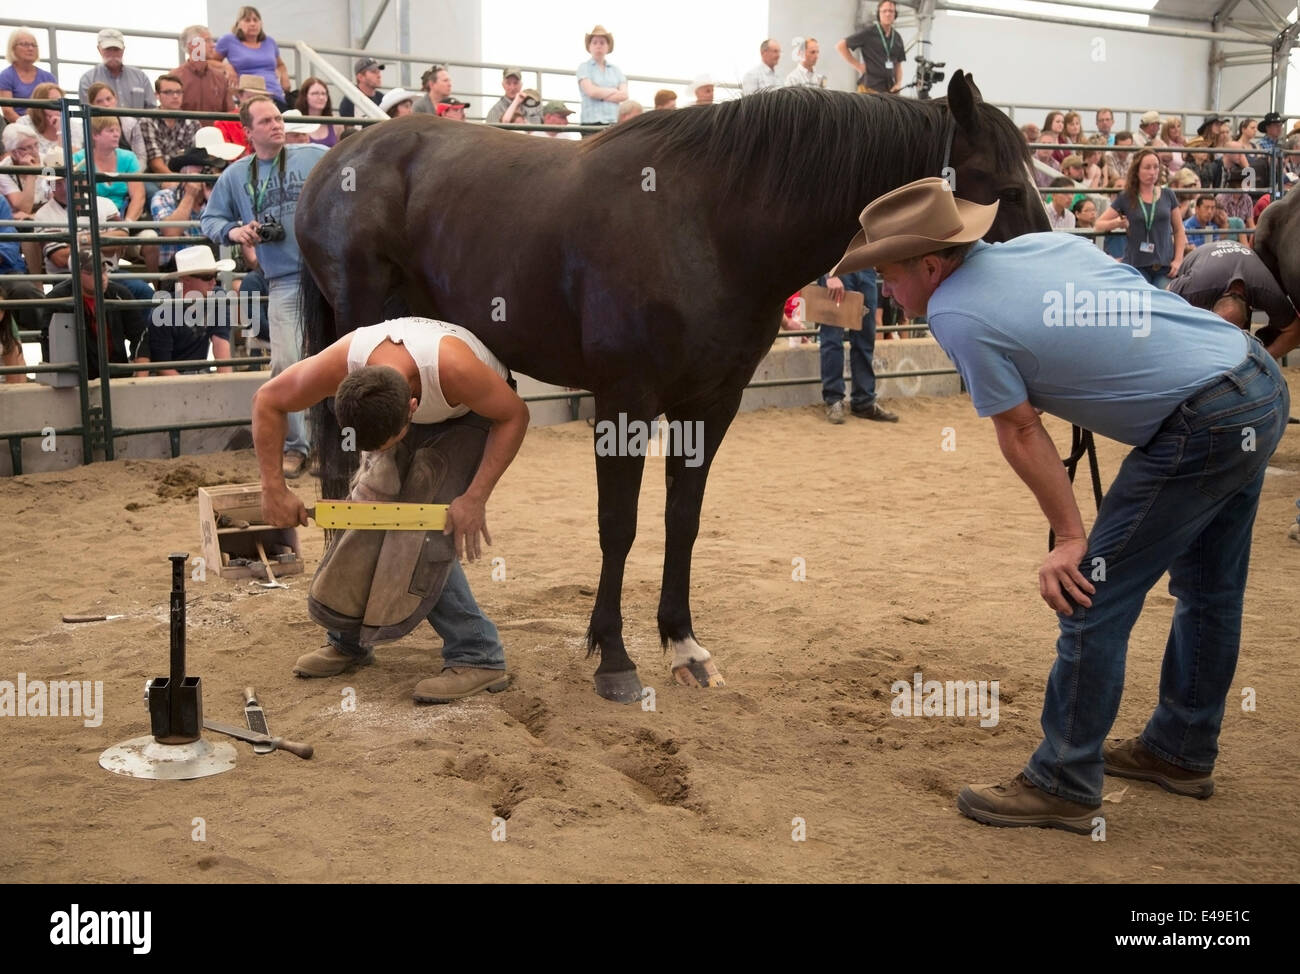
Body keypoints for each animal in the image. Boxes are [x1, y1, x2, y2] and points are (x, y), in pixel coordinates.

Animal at [295, 74, 1045, 697]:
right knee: (348, 463)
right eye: (1004, 187)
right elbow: (619, 525)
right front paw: (614, 655)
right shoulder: (625, 403)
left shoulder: (712, 404)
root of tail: (336, 160)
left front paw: (684, 646)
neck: (708, 225)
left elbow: (681, 522)